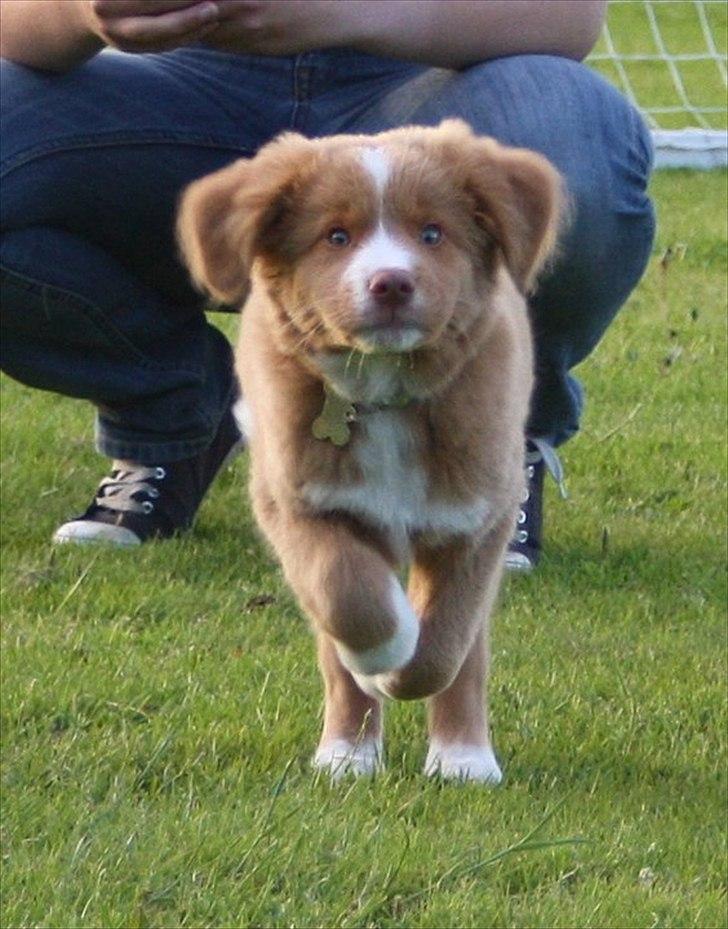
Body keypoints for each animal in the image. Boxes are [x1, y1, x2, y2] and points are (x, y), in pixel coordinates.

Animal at [176, 118, 564, 784]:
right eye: (336, 236)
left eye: (432, 233)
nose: (392, 283)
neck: (386, 394)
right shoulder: (301, 502)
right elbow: (347, 596)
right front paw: (383, 653)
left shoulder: (478, 516)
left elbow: (446, 643)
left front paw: (424, 699)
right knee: (340, 645)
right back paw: (346, 755)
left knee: (468, 655)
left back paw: (464, 757)